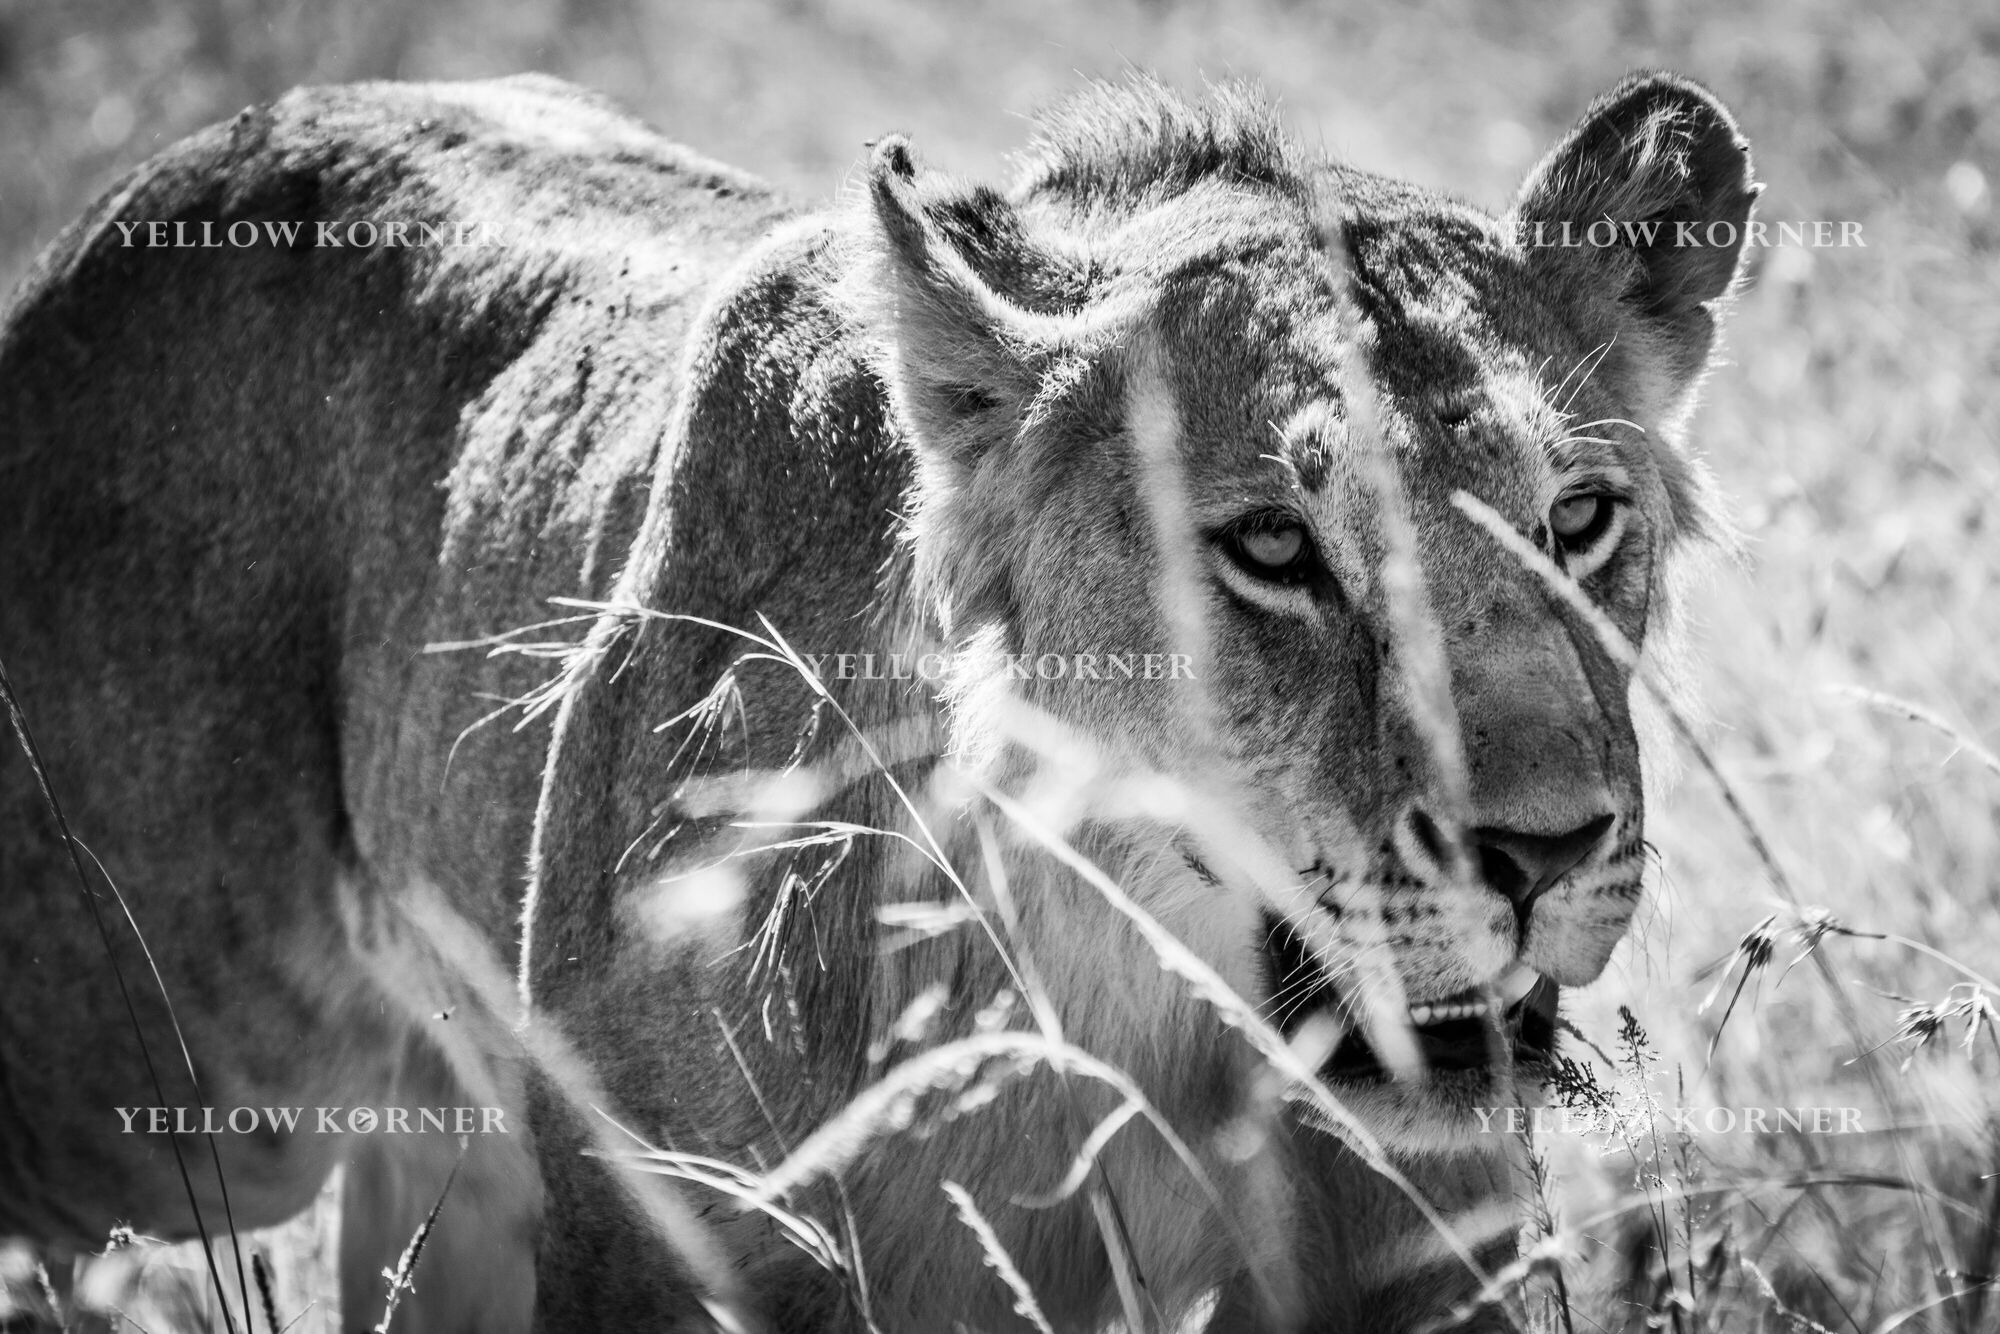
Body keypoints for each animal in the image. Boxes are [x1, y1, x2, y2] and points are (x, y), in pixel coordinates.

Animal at [0, 68, 1752, 1328]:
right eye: (1272, 545)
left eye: (1577, 519)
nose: (1544, 849)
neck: (1133, 991)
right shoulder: (652, 1244)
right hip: (162, 1092)